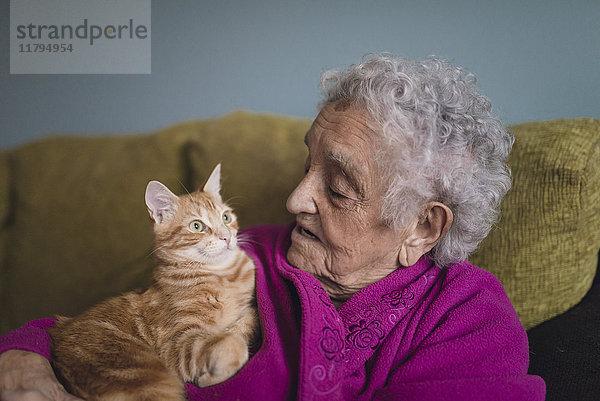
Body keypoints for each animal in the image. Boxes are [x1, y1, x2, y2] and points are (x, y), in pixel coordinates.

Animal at [48, 164, 258, 398]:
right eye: (196, 226)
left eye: (226, 217)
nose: (227, 237)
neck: (224, 275)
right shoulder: (176, 344)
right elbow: (233, 345)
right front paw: (209, 377)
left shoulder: (247, 309)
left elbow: (248, 321)